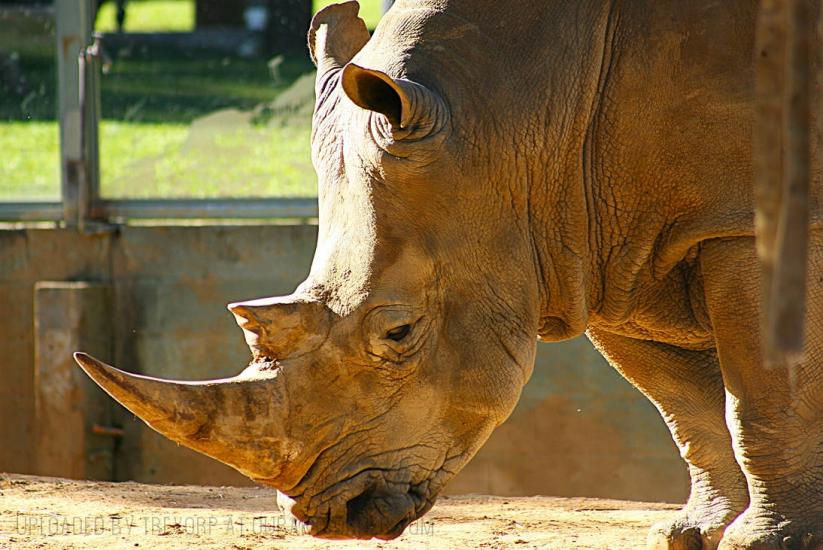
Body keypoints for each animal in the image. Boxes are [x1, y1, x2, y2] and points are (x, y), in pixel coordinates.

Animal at [74, 0, 823, 548]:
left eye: (399, 333)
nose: (333, 516)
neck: (520, 111)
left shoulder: (738, 219)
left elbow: (759, 393)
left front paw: (765, 542)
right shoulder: (602, 240)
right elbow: (684, 404)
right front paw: (693, 534)